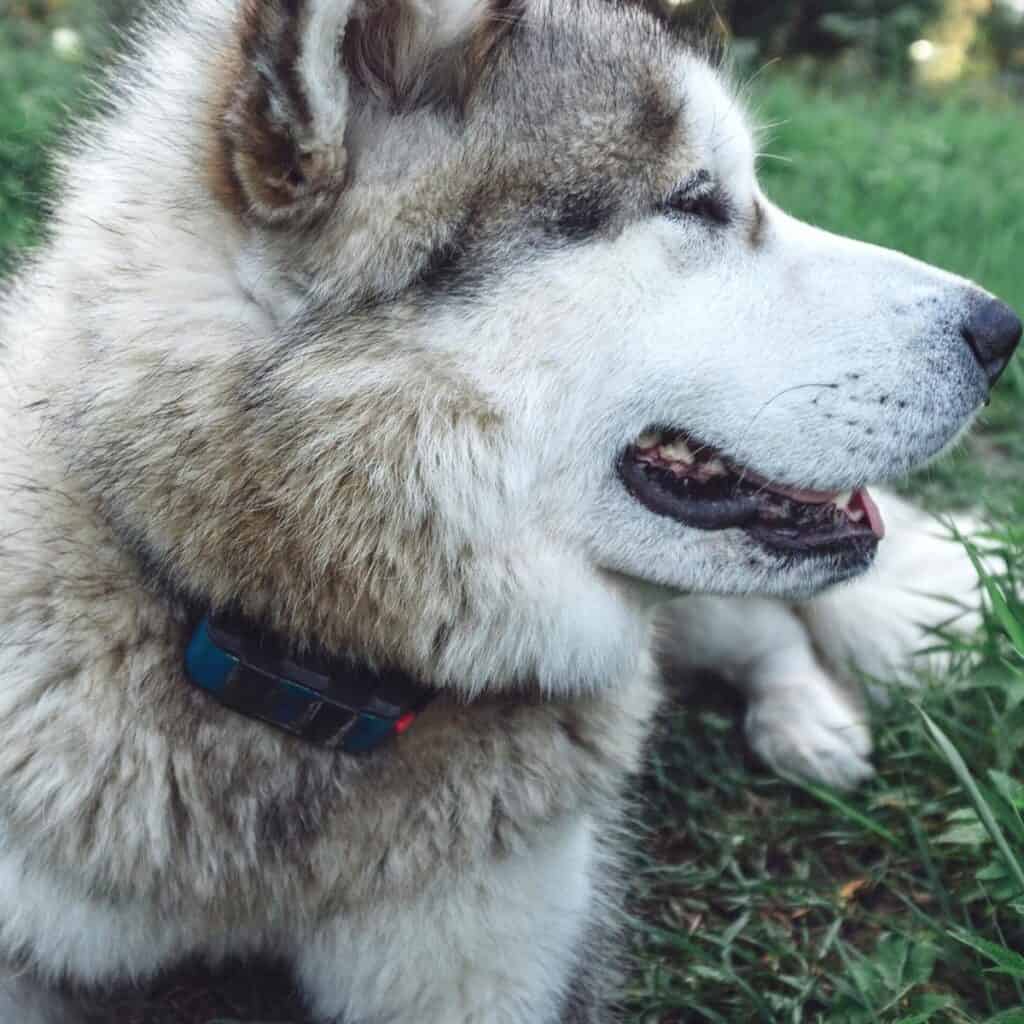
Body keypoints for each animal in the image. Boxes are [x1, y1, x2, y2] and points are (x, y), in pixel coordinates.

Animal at [0, 0, 1019, 1019]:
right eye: (695, 200)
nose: (1003, 329)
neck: (303, 669)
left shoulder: (480, 964)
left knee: (772, 632)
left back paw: (808, 723)